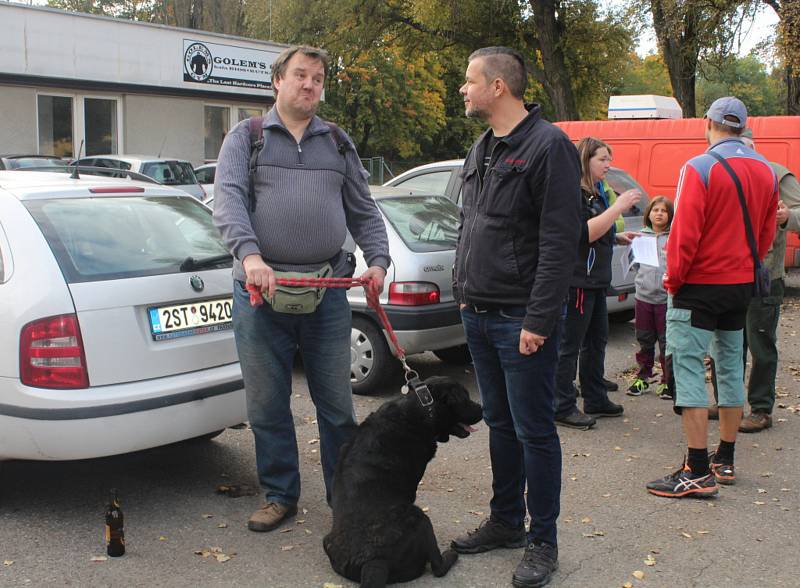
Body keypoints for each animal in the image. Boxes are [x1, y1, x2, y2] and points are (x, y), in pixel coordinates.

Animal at [324, 376, 482, 588]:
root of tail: (372, 561)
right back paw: (450, 556)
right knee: (438, 567)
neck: (421, 409)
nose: (481, 408)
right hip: (420, 518)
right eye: (464, 399)